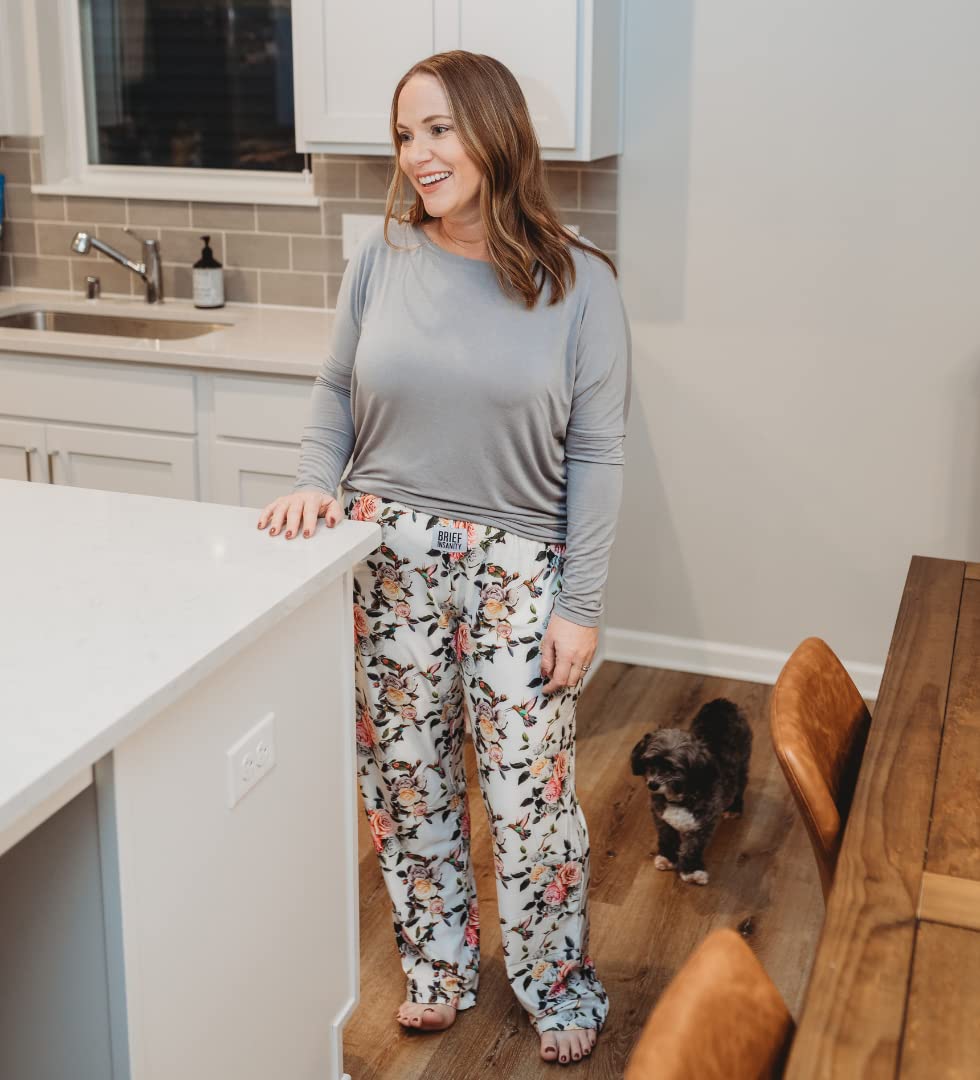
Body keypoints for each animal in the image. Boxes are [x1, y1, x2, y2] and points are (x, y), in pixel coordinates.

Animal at [626, 699, 752, 885]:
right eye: (650, 762)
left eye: (674, 769)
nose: (653, 784)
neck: (679, 797)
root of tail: (723, 703)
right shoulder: (661, 818)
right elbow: (667, 838)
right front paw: (668, 857)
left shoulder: (702, 824)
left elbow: (692, 848)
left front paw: (691, 871)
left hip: (742, 763)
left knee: (740, 786)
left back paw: (734, 808)